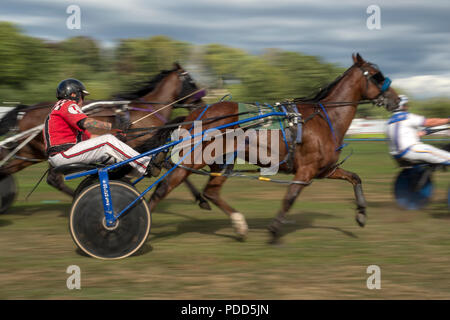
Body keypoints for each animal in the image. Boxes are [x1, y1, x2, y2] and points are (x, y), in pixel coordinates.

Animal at [0, 63, 207, 211]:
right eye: (191, 81)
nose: (201, 103)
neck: (148, 111)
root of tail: (25, 111)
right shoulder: (142, 145)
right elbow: (166, 164)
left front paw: (201, 198)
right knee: (53, 178)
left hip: (29, 155)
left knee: (12, 170)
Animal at [148, 53, 400, 240]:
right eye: (377, 76)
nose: (397, 100)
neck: (324, 118)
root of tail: (195, 114)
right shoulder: (306, 170)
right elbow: (290, 197)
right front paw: (274, 229)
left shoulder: (326, 169)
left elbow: (355, 178)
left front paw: (362, 214)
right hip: (193, 159)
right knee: (164, 189)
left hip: (221, 162)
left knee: (211, 192)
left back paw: (239, 224)